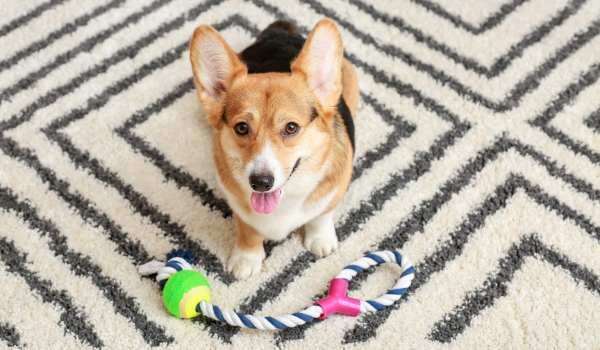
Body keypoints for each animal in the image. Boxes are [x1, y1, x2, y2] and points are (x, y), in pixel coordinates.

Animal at [189, 18, 356, 278]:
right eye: (241, 128)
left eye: (291, 127)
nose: (260, 182)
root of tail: (278, 32)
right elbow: (247, 229)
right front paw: (246, 258)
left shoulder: (334, 190)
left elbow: (321, 215)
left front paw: (321, 239)